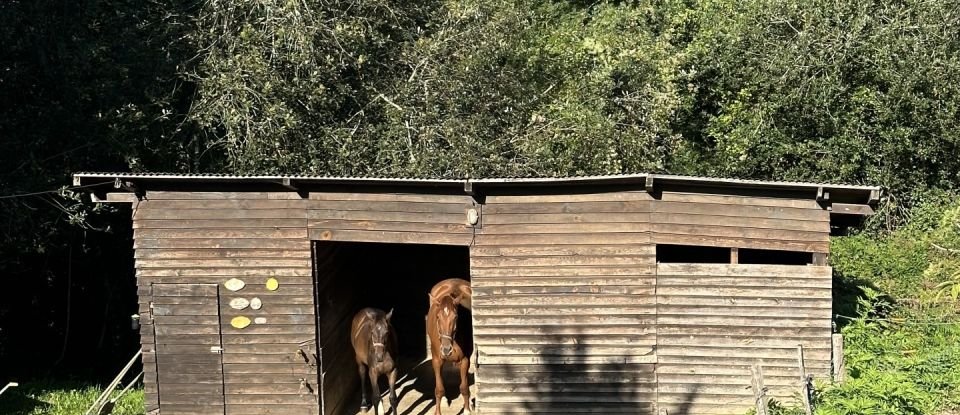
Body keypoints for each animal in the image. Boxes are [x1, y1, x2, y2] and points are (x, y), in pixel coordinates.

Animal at [428, 280, 472, 415]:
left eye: (456, 317)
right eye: (437, 317)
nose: (446, 350)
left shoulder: (465, 360)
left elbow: (464, 387)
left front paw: (467, 410)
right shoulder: (436, 360)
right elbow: (439, 389)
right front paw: (438, 411)